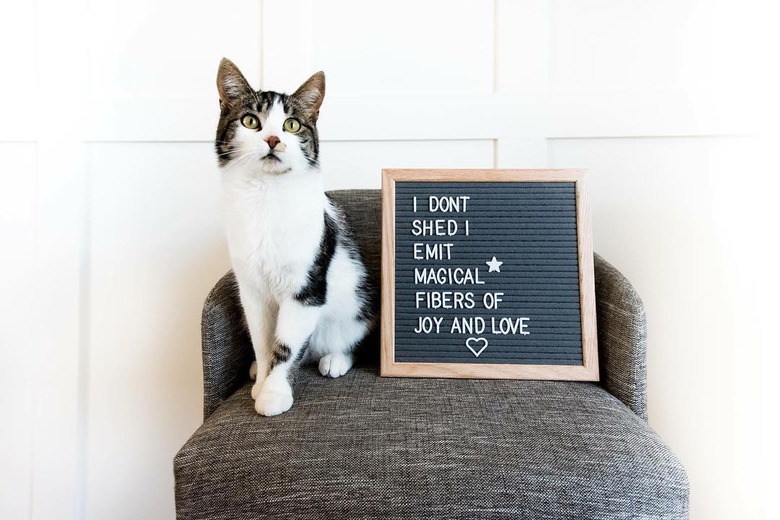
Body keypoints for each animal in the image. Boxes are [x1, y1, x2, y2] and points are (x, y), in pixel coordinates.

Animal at [215, 58, 376, 414]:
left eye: (291, 124)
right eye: (250, 121)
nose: (274, 139)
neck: (266, 194)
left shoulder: (307, 287)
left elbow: (286, 345)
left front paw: (273, 394)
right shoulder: (252, 290)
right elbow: (263, 343)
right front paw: (261, 383)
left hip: (355, 306)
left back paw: (334, 360)